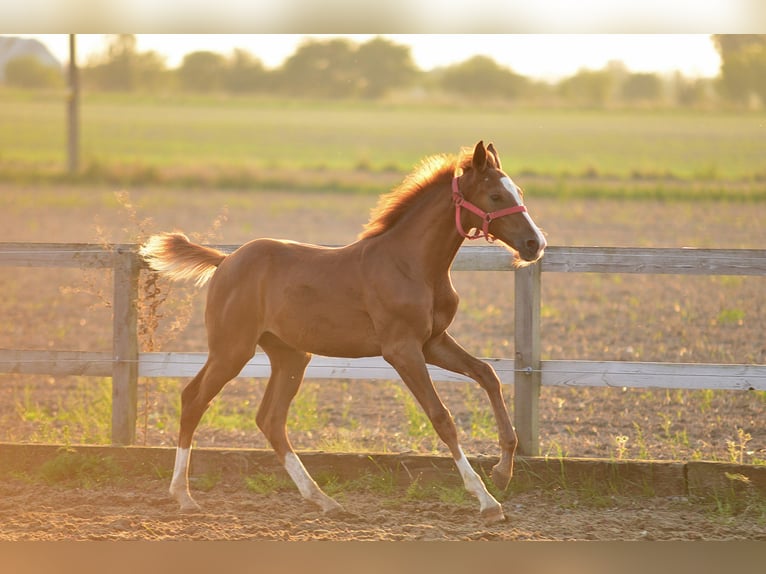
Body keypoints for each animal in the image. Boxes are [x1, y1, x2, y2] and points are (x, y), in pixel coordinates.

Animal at [140, 142, 544, 524]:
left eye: (519, 191)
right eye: (496, 196)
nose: (535, 244)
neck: (412, 265)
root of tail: (225, 261)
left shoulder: (433, 342)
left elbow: (487, 374)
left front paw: (502, 472)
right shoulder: (402, 350)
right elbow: (442, 417)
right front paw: (487, 501)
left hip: (290, 355)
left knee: (270, 419)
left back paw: (324, 500)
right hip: (232, 350)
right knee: (193, 400)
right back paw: (183, 496)